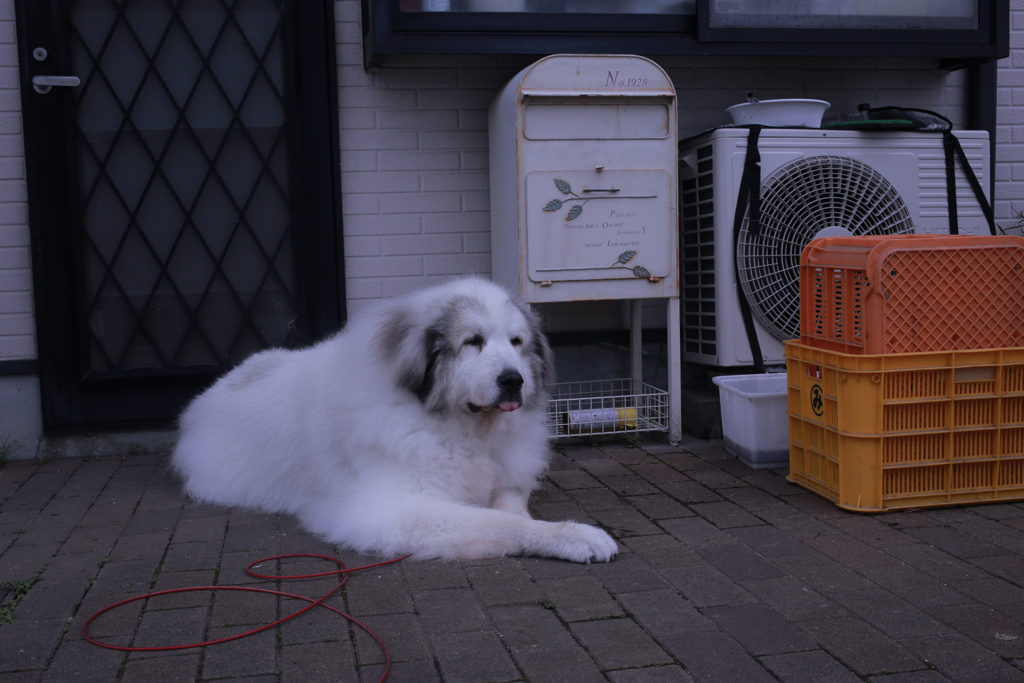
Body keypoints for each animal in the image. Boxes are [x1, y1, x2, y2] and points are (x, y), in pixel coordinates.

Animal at [173, 278, 614, 565]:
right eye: (473, 342)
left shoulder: (505, 472)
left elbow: (510, 505)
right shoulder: (394, 510)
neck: (463, 428)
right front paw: (572, 535)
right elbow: (499, 522)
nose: (513, 380)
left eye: (517, 343)